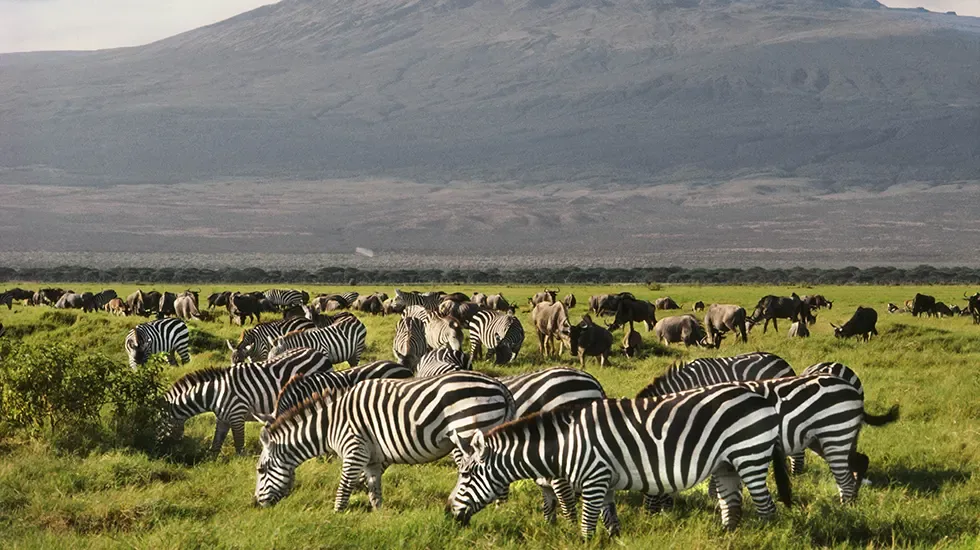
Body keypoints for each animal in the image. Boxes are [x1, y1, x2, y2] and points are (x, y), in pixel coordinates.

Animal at [162, 348, 333, 454]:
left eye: (160, 423)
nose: (169, 450)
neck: (214, 393)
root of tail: (319, 353)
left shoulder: (237, 415)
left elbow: (239, 446)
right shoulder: (222, 419)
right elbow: (215, 446)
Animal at [254, 371, 516, 511]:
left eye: (261, 469)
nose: (256, 504)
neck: (329, 425)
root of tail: (499, 385)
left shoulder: (354, 449)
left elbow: (344, 487)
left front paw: (336, 517)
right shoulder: (371, 458)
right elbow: (374, 489)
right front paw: (380, 517)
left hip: (470, 431)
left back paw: (497, 512)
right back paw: (499, 511)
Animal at [448, 385, 792, 538]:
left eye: (466, 475)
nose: (448, 514)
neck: (566, 443)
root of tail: (760, 397)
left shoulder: (594, 477)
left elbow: (587, 523)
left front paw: (585, 542)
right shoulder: (607, 481)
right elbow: (609, 519)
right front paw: (614, 539)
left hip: (749, 455)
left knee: (766, 507)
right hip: (725, 463)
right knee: (731, 504)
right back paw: (726, 537)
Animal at [638, 375, 899, 511]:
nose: (651, 514)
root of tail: (853, 389)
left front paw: (717, 499)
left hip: (835, 433)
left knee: (849, 468)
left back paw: (847, 504)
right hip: (825, 439)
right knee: (860, 460)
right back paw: (854, 499)